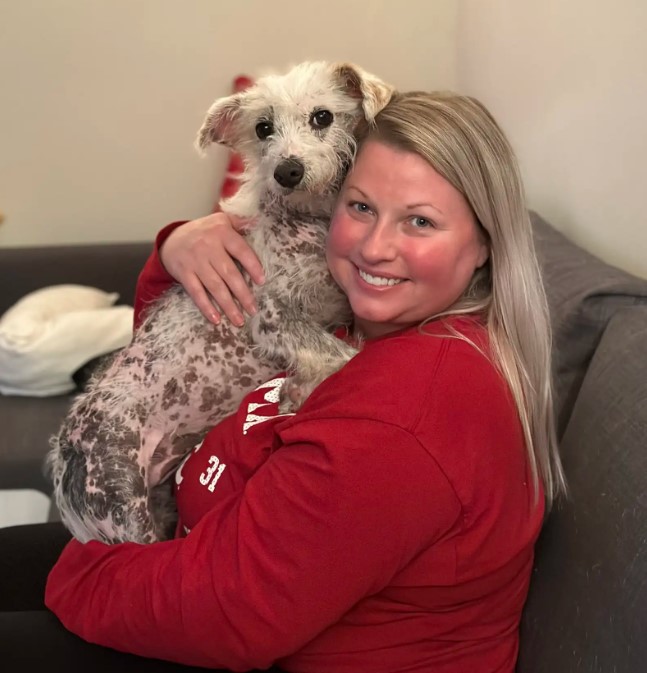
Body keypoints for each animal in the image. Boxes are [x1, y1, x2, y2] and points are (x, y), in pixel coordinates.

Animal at [44, 60, 394, 544]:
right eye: (263, 128)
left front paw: (297, 388)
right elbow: (341, 353)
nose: (287, 171)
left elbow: (339, 347)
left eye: (323, 117)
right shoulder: (271, 315)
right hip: (120, 504)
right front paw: (298, 391)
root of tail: (62, 460)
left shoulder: (336, 306)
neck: (309, 224)